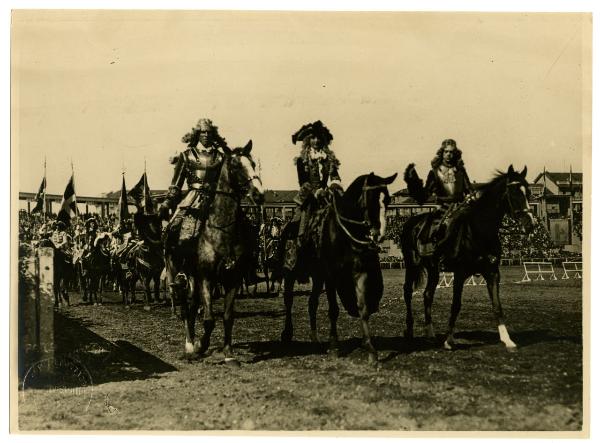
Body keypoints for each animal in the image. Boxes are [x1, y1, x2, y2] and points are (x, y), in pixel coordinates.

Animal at [166, 140, 264, 366]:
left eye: (253, 163)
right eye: (236, 165)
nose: (259, 194)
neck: (221, 230)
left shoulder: (232, 279)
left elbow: (228, 317)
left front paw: (229, 354)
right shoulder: (206, 277)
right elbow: (209, 320)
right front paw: (201, 346)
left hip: (193, 278)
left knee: (192, 306)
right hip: (179, 274)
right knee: (185, 307)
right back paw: (189, 346)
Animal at [276, 172, 398, 366]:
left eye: (387, 200)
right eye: (371, 198)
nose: (380, 234)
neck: (343, 233)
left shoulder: (359, 273)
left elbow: (362, 307)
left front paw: (370, 349)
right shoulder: (332, 275)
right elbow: (333, 310)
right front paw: (334, 346)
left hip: (317, 277)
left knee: (312, 303)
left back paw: (315, 339)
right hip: (290, 272)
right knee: (288, 300)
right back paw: (287, 334)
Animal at [404, 166, 536, 350]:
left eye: (528, 192)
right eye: (514, 192)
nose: (531, 224)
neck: (479, 231)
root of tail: (411, 223)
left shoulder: (492, 273)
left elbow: (497, 306)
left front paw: (507, 339)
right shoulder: (460, 274)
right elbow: (456, 305)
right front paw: (449, 340)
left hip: (433, 270)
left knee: (427, 294)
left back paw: (430, 332)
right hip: (412, 266)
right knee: (408, 292)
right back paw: (409, 330)